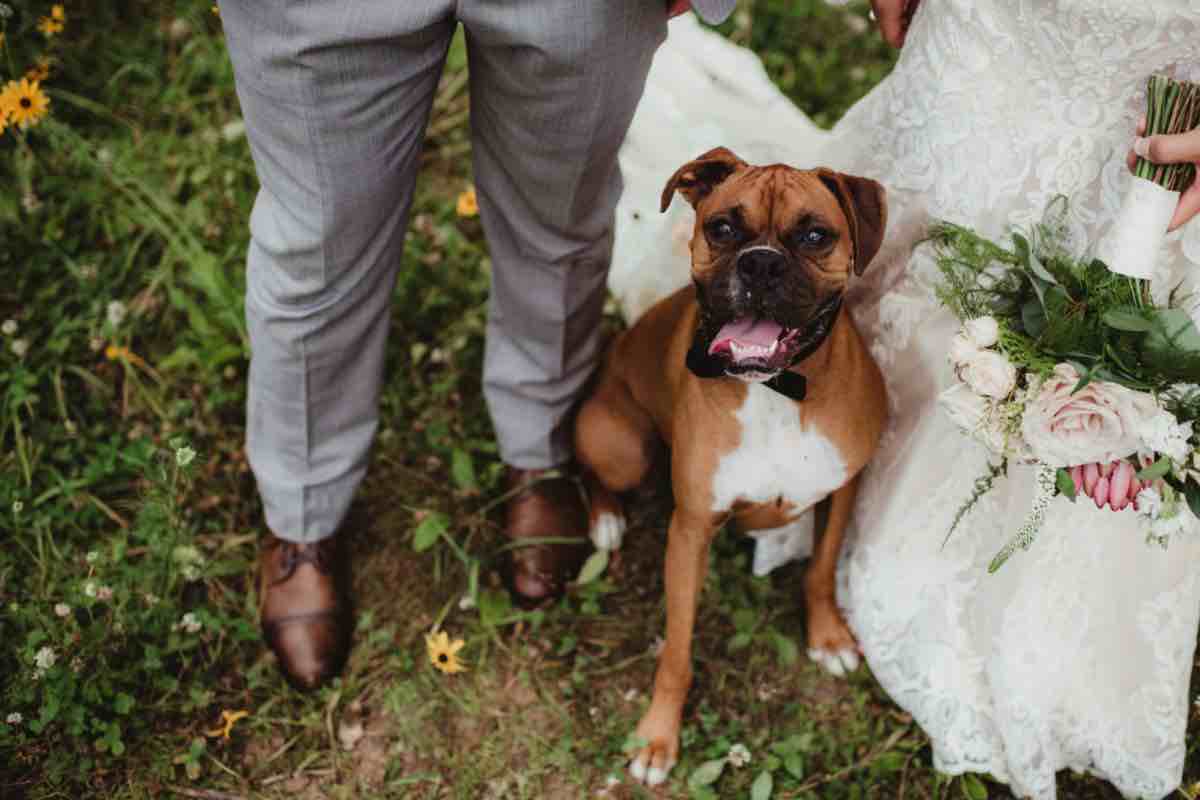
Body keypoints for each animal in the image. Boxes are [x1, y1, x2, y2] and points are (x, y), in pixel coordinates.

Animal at [576, 146, 888, 786]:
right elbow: (676, 651)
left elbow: (821, 569)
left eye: (815, 235)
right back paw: (606, 520)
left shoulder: (842, 488)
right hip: (622, 446)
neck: (775, 391)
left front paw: (828, 637)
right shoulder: (691, 531)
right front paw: (657, 736)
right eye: (722, 228)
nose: (761, 264)